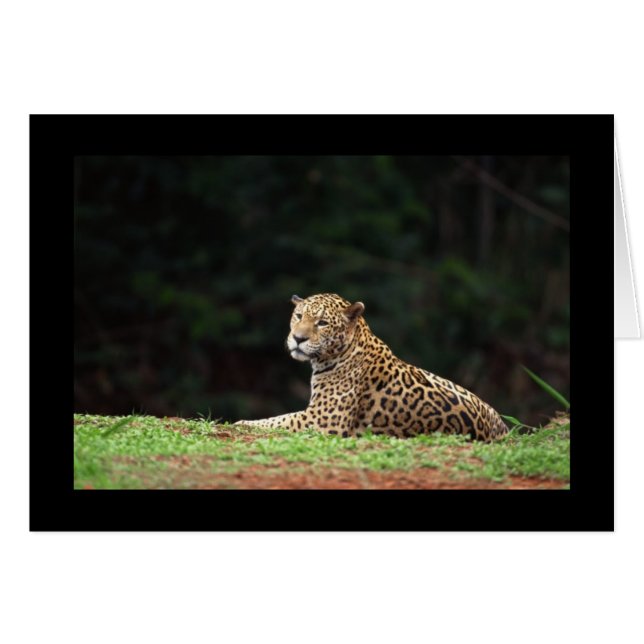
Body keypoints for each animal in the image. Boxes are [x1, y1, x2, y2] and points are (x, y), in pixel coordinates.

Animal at [235, 293, 508, 441]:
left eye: (322, 323)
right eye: (299, 316)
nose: (298, 338)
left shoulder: (322, 420)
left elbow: (275, 421)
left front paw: (240, 423)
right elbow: (276, 419)